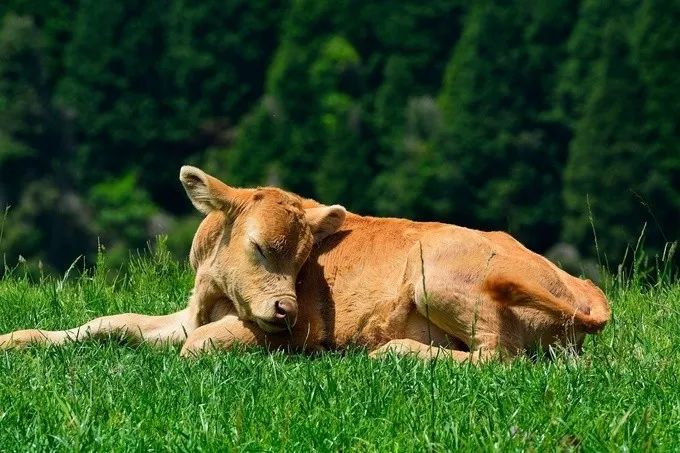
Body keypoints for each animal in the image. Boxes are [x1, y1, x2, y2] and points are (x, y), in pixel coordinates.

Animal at [0, 166, 612, 360]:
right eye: (258, 247)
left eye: (302, 263)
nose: (284, 310)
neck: (212, 299)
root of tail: (583, 290)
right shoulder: (183, 315)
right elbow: (112, 323)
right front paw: (18, 339)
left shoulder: (296, 333)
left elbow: (197, 347)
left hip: (438, 280)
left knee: (495, 358)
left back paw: (395, 352)